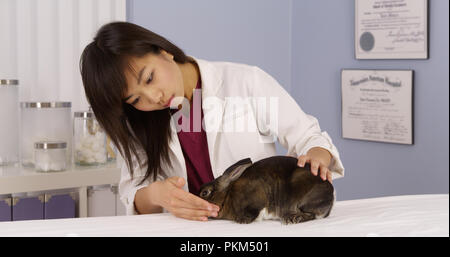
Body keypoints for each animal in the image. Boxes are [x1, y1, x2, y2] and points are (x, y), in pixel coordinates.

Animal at [199, 154, 336, 224]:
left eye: (205, 192)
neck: (227, 196)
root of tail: (331, 197)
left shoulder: (256, 197)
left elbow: (253, 210)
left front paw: (242, 220)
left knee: (311, 214)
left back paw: (293, 218)